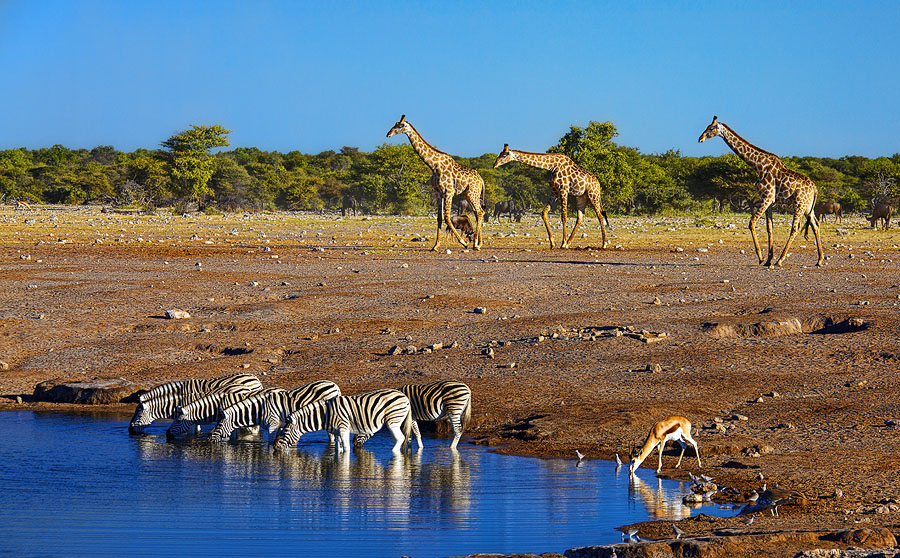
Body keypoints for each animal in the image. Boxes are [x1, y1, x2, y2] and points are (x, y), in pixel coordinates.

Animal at [272, 390, 414, 456]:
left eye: (285, 431)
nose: (275, 447)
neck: (326, 414)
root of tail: (404, 396)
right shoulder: (336, 432)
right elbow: (337, 448)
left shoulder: (343, 428)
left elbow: (346, 448)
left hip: (393, 421)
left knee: (400, 438)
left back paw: (393, 452)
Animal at [386, 115, 486, 250]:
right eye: (395, 124)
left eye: (400, 125)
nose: (388, 134)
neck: (433, 165)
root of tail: (481, 180)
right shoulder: (437, 192)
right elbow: (439, 218)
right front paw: (436, 245)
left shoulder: (449, 192)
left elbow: (447, 217)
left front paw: (464, 243)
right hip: (468, 194)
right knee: (477, 213)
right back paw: (479, 243)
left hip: (472, 193)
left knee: (480, 212)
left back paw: (475, 244)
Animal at [700, 116, 828, 270]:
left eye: (711, 128)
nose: (700, 138)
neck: (758, 166)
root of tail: (815, 188)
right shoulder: (769, 200)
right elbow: (769, 227)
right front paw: (768, 260)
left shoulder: (767, 197)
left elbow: (751, 222)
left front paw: (761, 258)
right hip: (808, 207)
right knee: (816, 225)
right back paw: (819, 260)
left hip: (799, 204)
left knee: (795, 228)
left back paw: (781, 260)